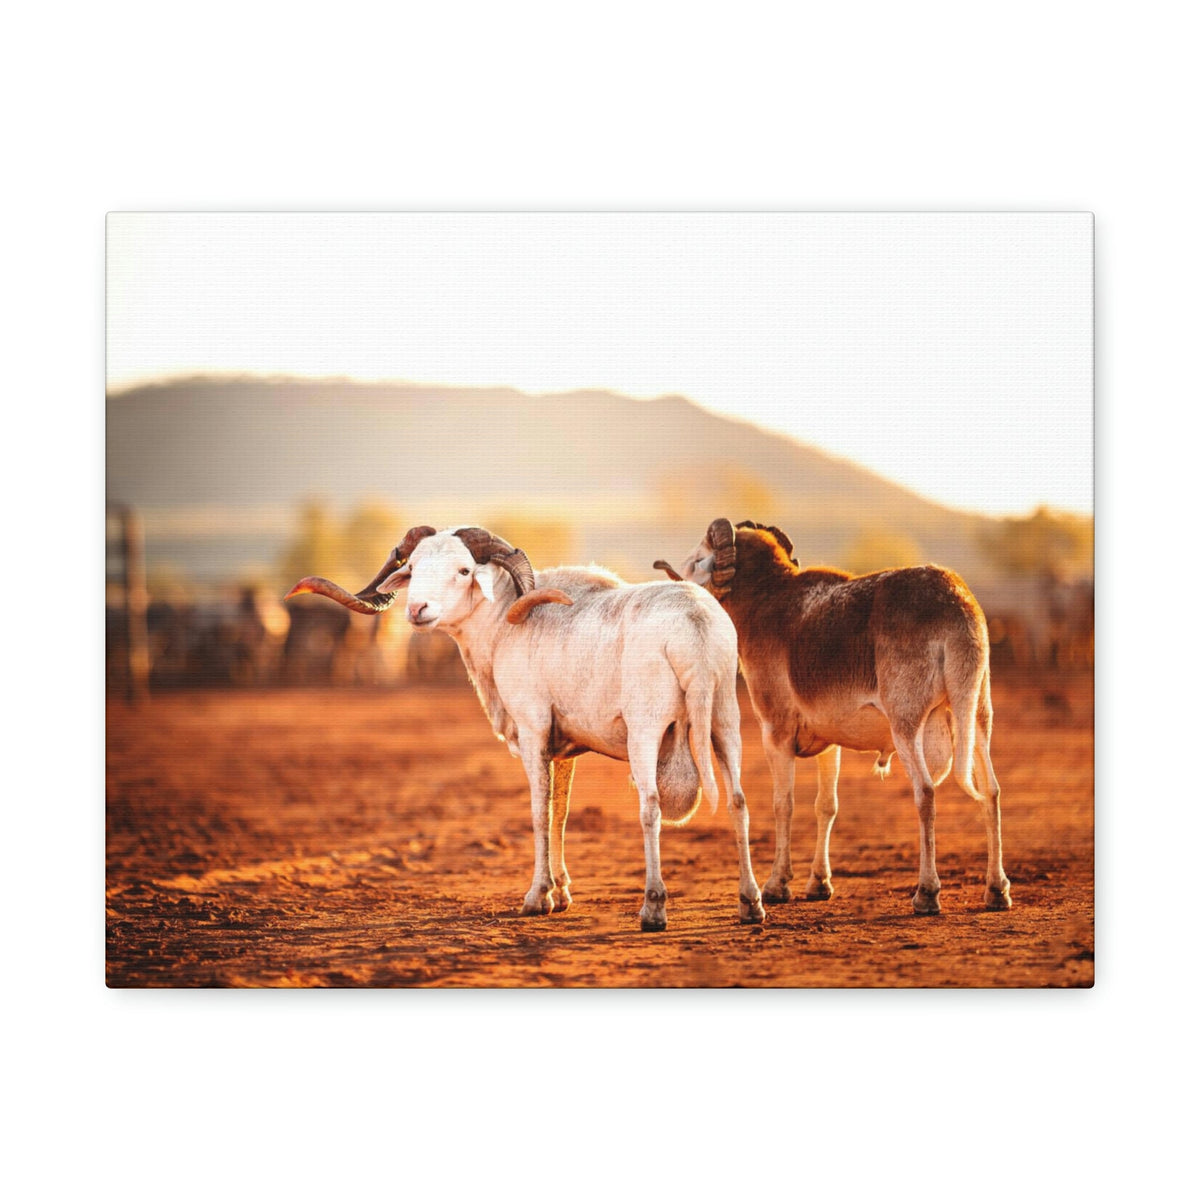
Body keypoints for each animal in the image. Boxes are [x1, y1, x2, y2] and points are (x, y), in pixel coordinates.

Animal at [287, 524, 765, 931]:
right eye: (415, 566)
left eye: (464, 570)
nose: (418, 610)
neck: (502, 627)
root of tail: (694, 627)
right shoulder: (565, 748)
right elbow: (560, 814)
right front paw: (563, 892)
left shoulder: (534, 732)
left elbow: (538, 813)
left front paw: (538, 898)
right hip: (725, 721)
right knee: (739, 801)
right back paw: (751, 904)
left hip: (646, 730)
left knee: (649, 806)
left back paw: (653, 909)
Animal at [655, 519, 1011, 915]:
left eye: (698, 559)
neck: (767, 603)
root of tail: (956, 608)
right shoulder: (830, 747)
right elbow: (826, 807)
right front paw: (818, 884)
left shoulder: (775, 735)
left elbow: (784, 804)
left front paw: (777, 886)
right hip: (976, 719)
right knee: (991, 791)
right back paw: (997, 891)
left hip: (908, 730)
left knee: (926, 793)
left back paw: (926, 894)